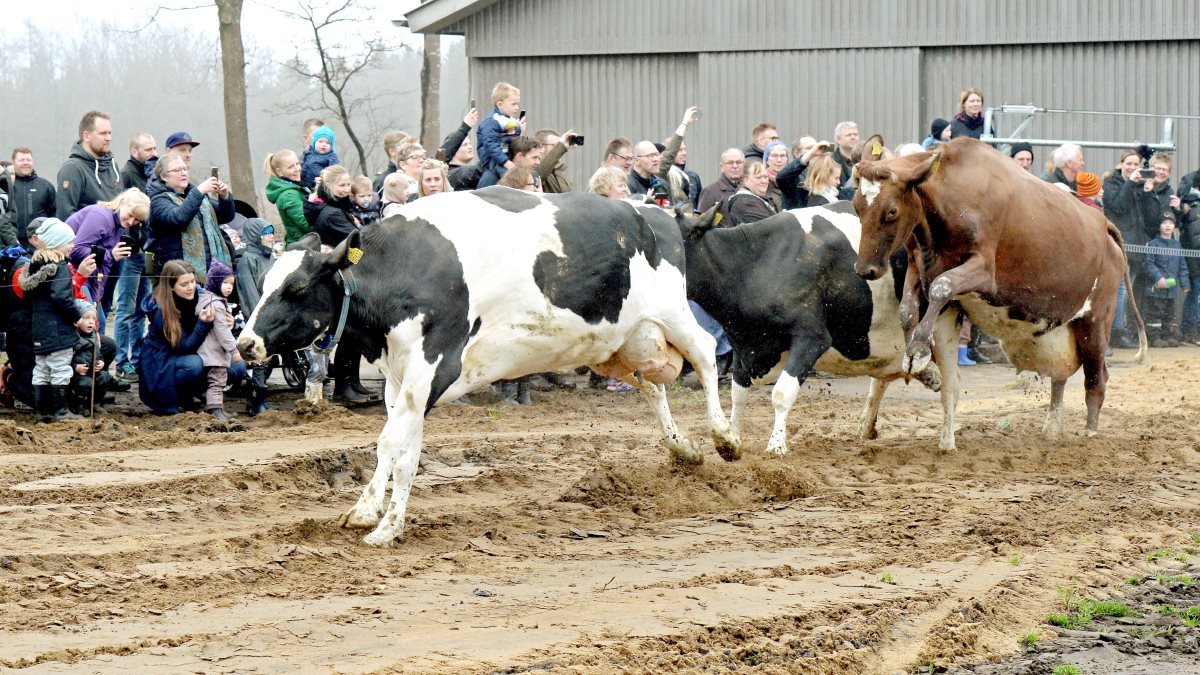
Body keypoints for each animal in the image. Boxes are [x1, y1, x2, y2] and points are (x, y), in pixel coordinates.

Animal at [237, 186, 734, 542]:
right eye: (263, 283)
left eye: (298, 288)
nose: (245, 343)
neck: (403, 271)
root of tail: (655, 213)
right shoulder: (401, 379)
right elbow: (404, 451)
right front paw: (382, 518)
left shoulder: (434, 365)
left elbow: (390, 444)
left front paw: (374, 519)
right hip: (618, 345)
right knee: (653, 385)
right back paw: (684, 450)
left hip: (671, 312)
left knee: (706, 353)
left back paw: (725, 437)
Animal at [681, 199, 960, 451]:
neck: (754, 264)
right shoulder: (743, 342)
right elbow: (738, 395)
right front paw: (733, 439)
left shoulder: (811, 337)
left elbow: (782, 393)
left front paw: (776, 446)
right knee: (887, 374)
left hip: (943, 323)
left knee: (950, 386)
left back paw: (946, 440)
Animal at [854, 136, 1142, 441]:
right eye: (857, 207)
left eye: (892, 211)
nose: (865, 269)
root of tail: (1104, 225)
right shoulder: (918, 266)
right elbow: (907, 310)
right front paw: (920, 362)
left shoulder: (982, 270)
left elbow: (941, 288)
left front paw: (919, 351)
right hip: (1063, 325)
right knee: (1060, 377)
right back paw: (1052, 427)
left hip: (1096, 321)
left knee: (1096, 380)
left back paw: (1089, 433)